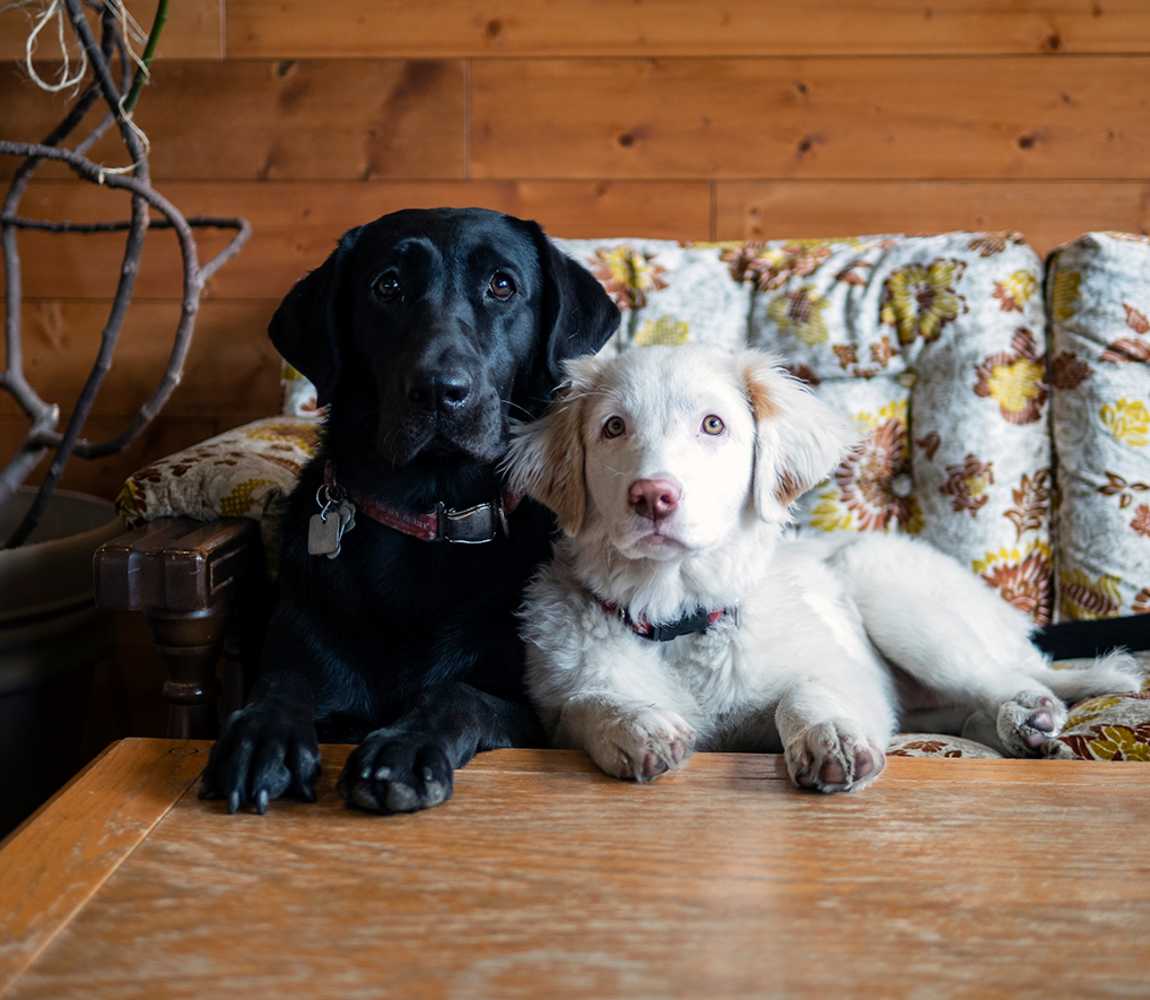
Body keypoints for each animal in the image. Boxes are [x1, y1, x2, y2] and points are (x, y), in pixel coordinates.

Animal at [202, 209, 625, 813]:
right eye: (388, 286)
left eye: (502, 285)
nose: (439, 391)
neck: (432, 513)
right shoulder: (304, 646)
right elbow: (283, 682)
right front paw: (263, 736)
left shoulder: (531, 712)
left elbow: (457, 692)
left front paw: (402, 750)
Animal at [506, 349, 1140, 795]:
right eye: (613, 427)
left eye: (713, 425)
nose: (652, 497)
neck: (678, 615)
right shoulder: (557, 711)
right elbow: (588, 702)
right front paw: (638, 727)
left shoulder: (854, 680)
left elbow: (805, 693)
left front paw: (828, 737)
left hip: (890, 590)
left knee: (1014, 678)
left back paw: (1029, 718)